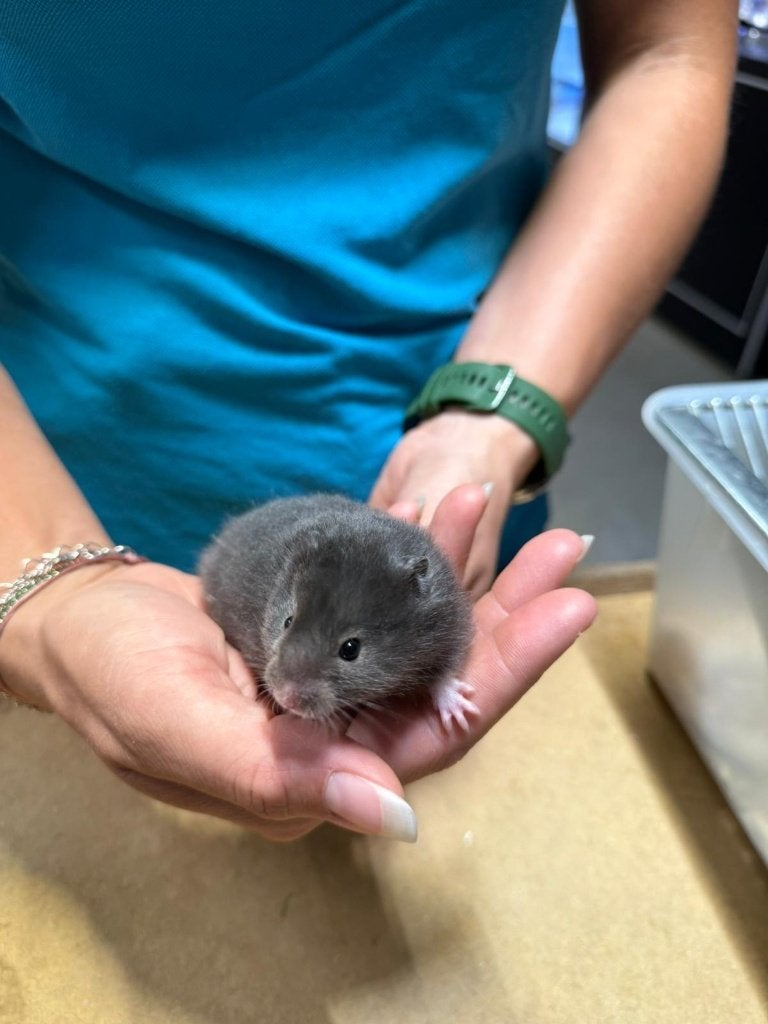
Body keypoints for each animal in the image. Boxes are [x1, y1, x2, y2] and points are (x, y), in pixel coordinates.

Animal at [198, 494, 478, 730]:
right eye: (287, 622)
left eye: (350, 649)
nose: (285, 699)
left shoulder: (451, 624)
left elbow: (444, 674)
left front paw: (463, 716)